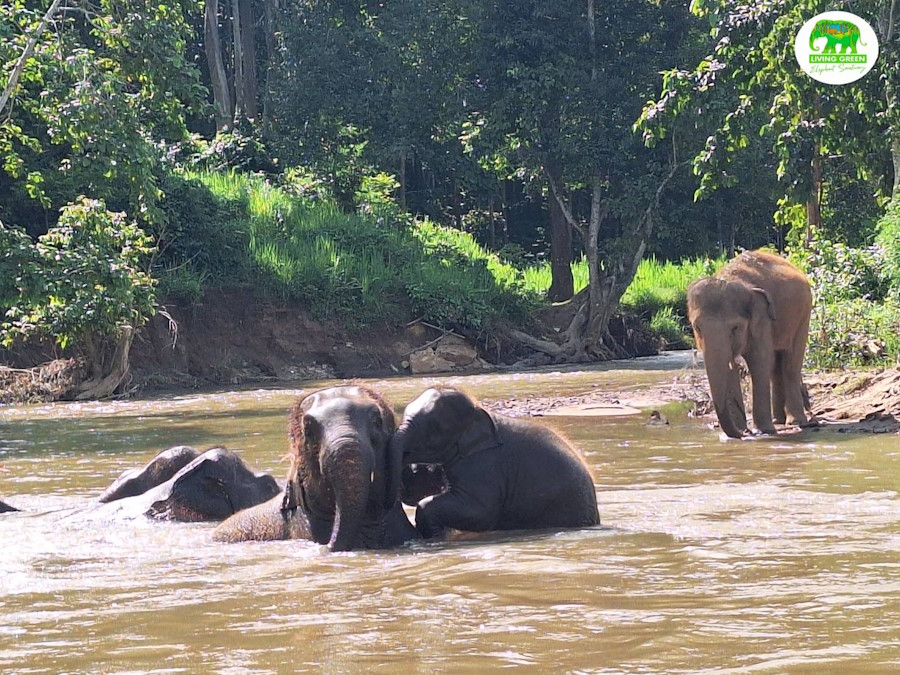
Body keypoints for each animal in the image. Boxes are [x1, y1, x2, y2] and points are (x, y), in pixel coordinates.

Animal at [687, 249, 812, 439]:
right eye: (697, 328)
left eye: (735, 328)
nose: (743, 433)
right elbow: (731, 367)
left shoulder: (763, 318)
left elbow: (759, 361)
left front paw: (764, 430)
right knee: (776, 365)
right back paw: (778, 420)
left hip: (804, 314)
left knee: (790, 363)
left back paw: (796, 422)